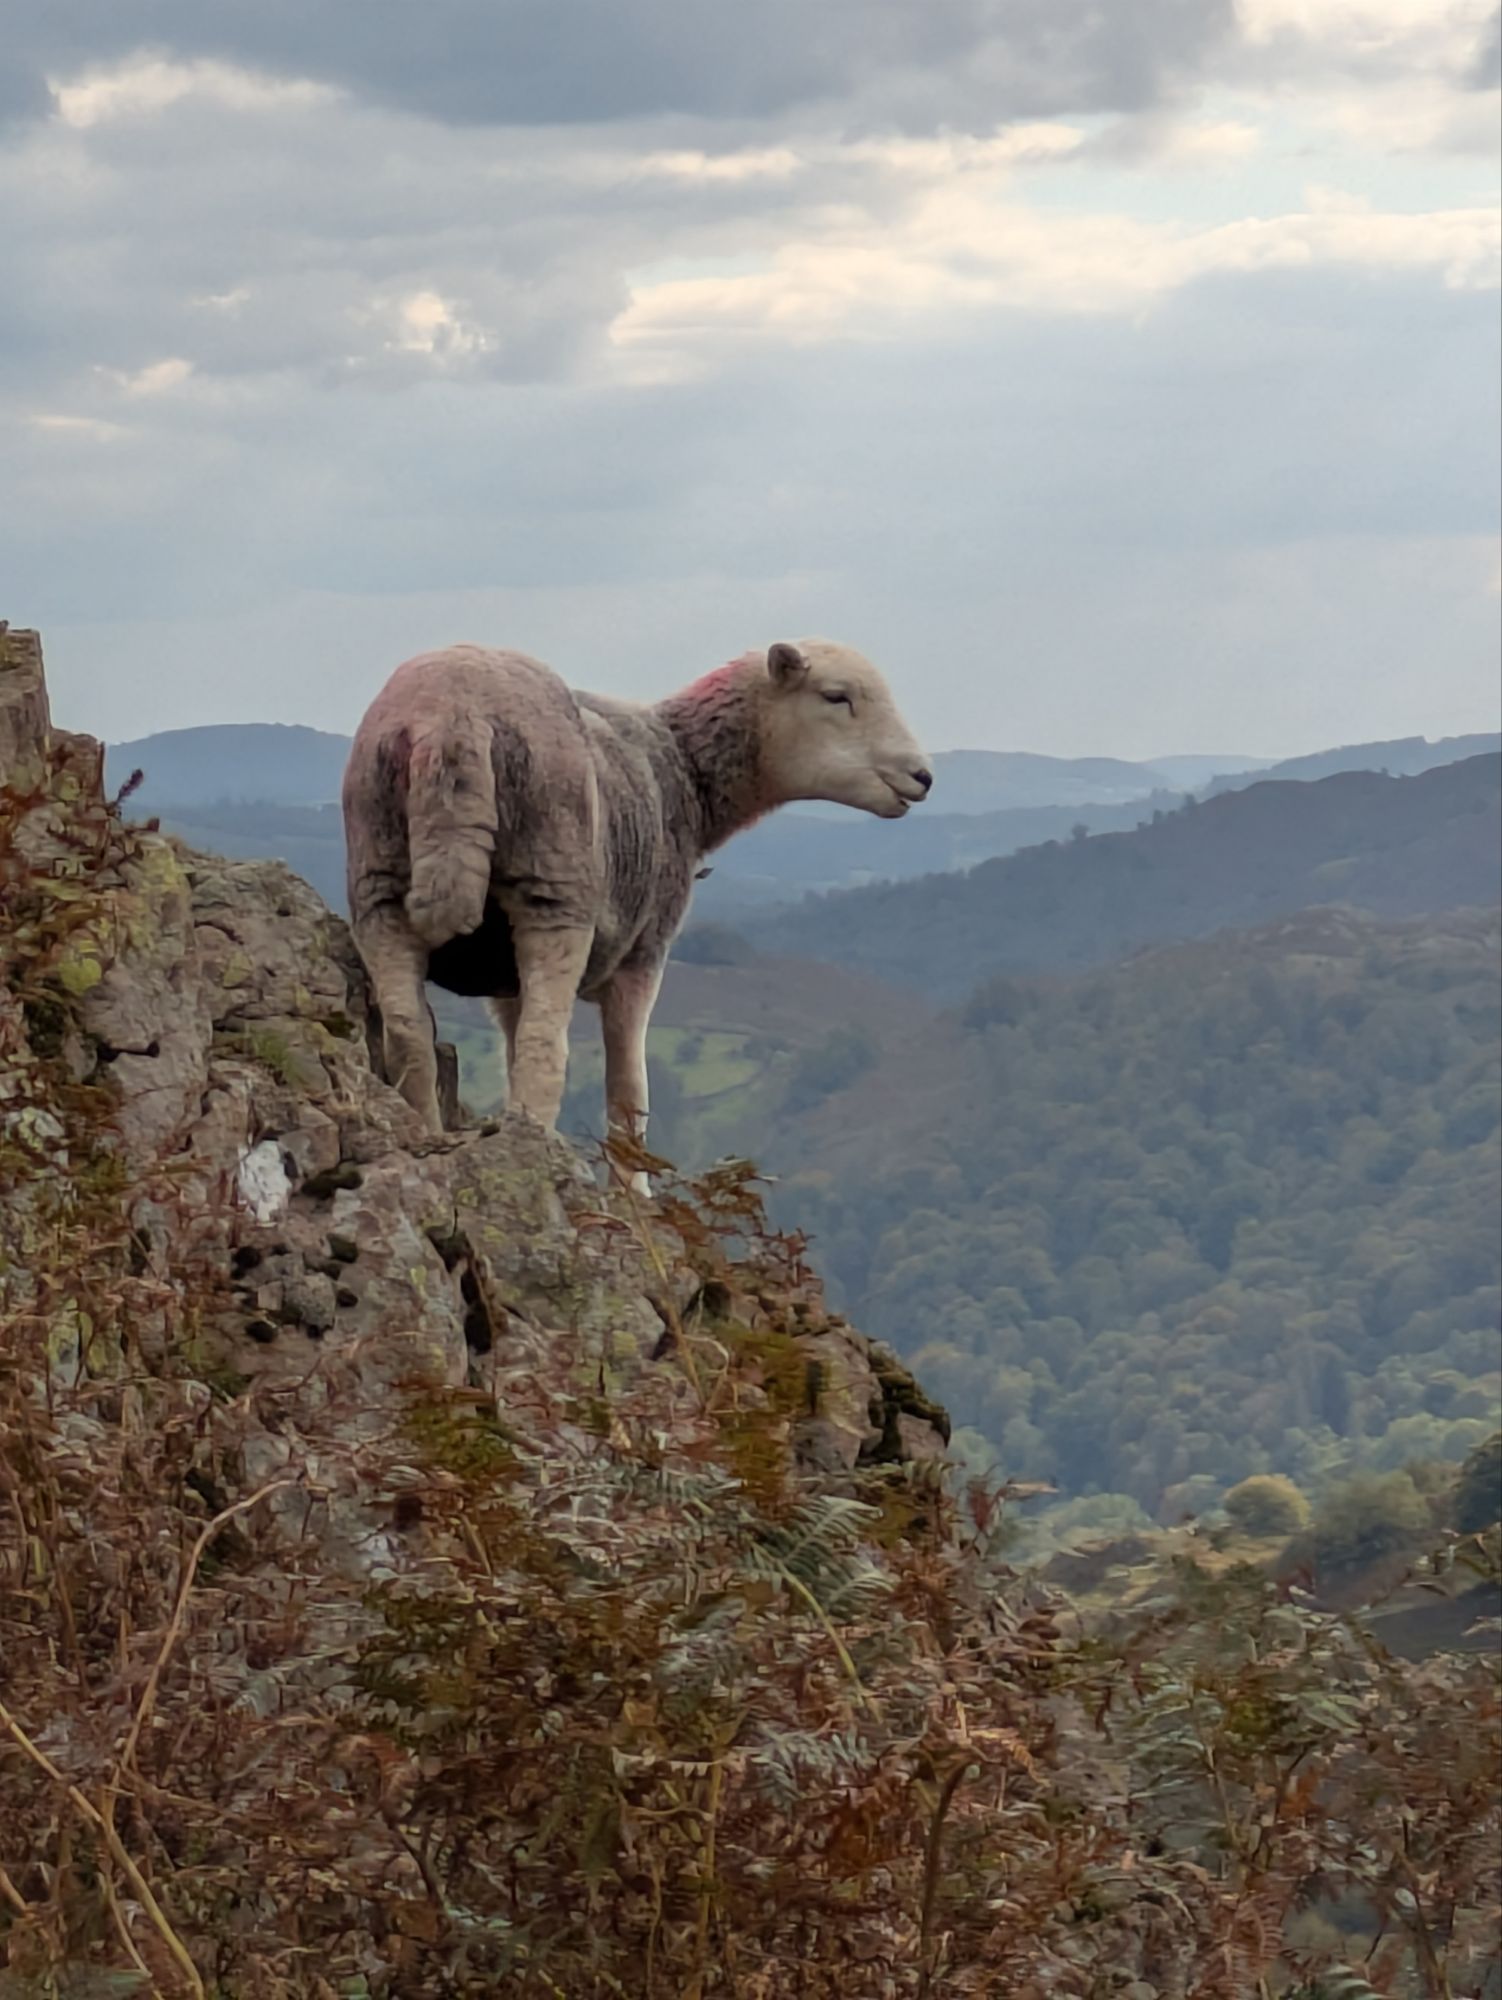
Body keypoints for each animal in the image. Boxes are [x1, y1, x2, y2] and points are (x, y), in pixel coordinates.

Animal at [342, 639, 932, 1161]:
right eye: (836, 696)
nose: (923, 776)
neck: (685, 769)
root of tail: (453, 719)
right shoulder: (643, 957)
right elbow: (629, 1096)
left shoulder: (504, 978)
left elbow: (511, 1050)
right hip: (553, 891)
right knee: (544, 1046)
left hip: (378, 883)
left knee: (410, 1035)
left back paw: (428, 1134)